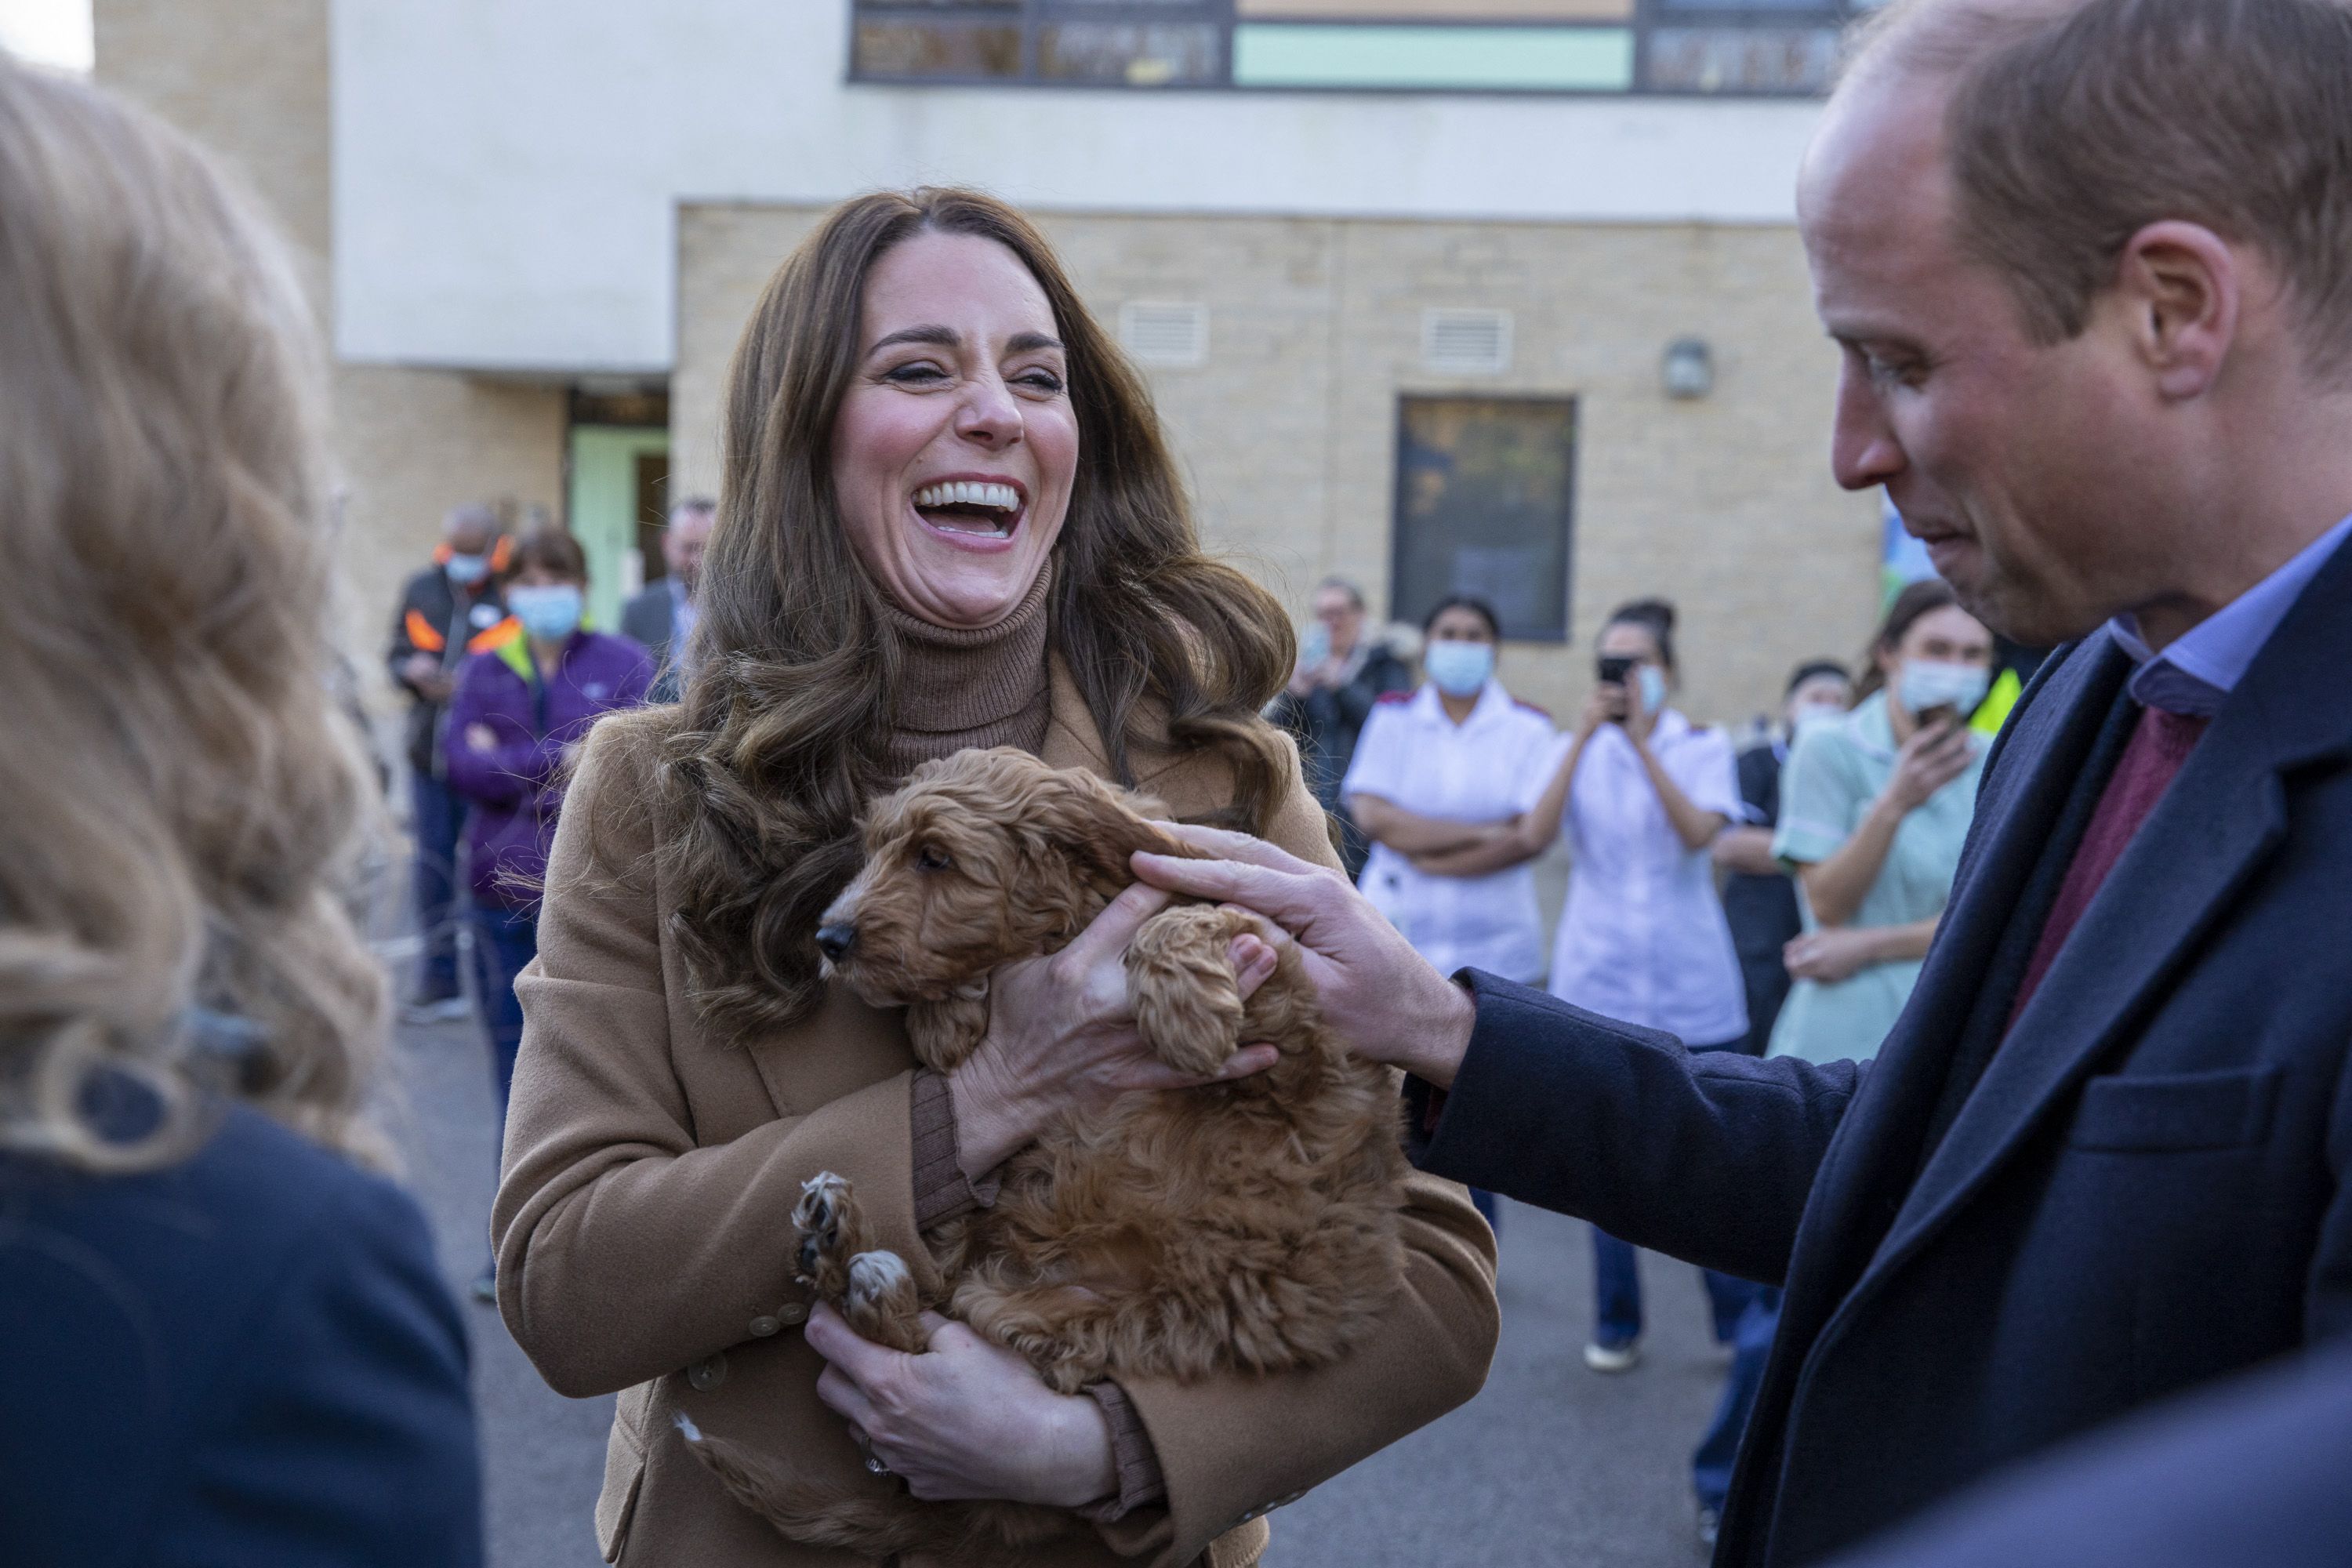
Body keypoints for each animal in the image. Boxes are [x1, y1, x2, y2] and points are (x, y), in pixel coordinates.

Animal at [682, 752, 1411, 1561]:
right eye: (875, 850)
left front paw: (1187, 1017)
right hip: (1000, 1275)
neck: (1060, 927)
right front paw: (950, 1017)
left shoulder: (1291, 1017)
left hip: (1073, 1324)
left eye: (934, 857)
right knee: (922, 1312)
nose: (830, 939)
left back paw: (853, 1260)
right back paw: (840, 1244)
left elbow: (1185, 919)